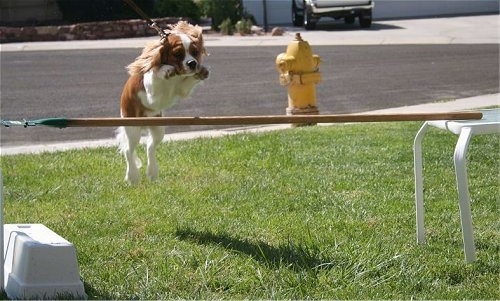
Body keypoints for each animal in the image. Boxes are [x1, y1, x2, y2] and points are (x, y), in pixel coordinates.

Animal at [116, 21, 208, 184]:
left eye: (195, 52)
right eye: (177, 54)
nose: (192, 63)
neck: (176, 76)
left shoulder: (182, 89)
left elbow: (187, 82)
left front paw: (200, 71)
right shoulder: (152, 94)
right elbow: (155, 72)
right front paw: (165, 70)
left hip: (158, 127)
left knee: (150, 147)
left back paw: (152, 172)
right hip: (132, 126)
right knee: (128, 150)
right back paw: (132, 176)